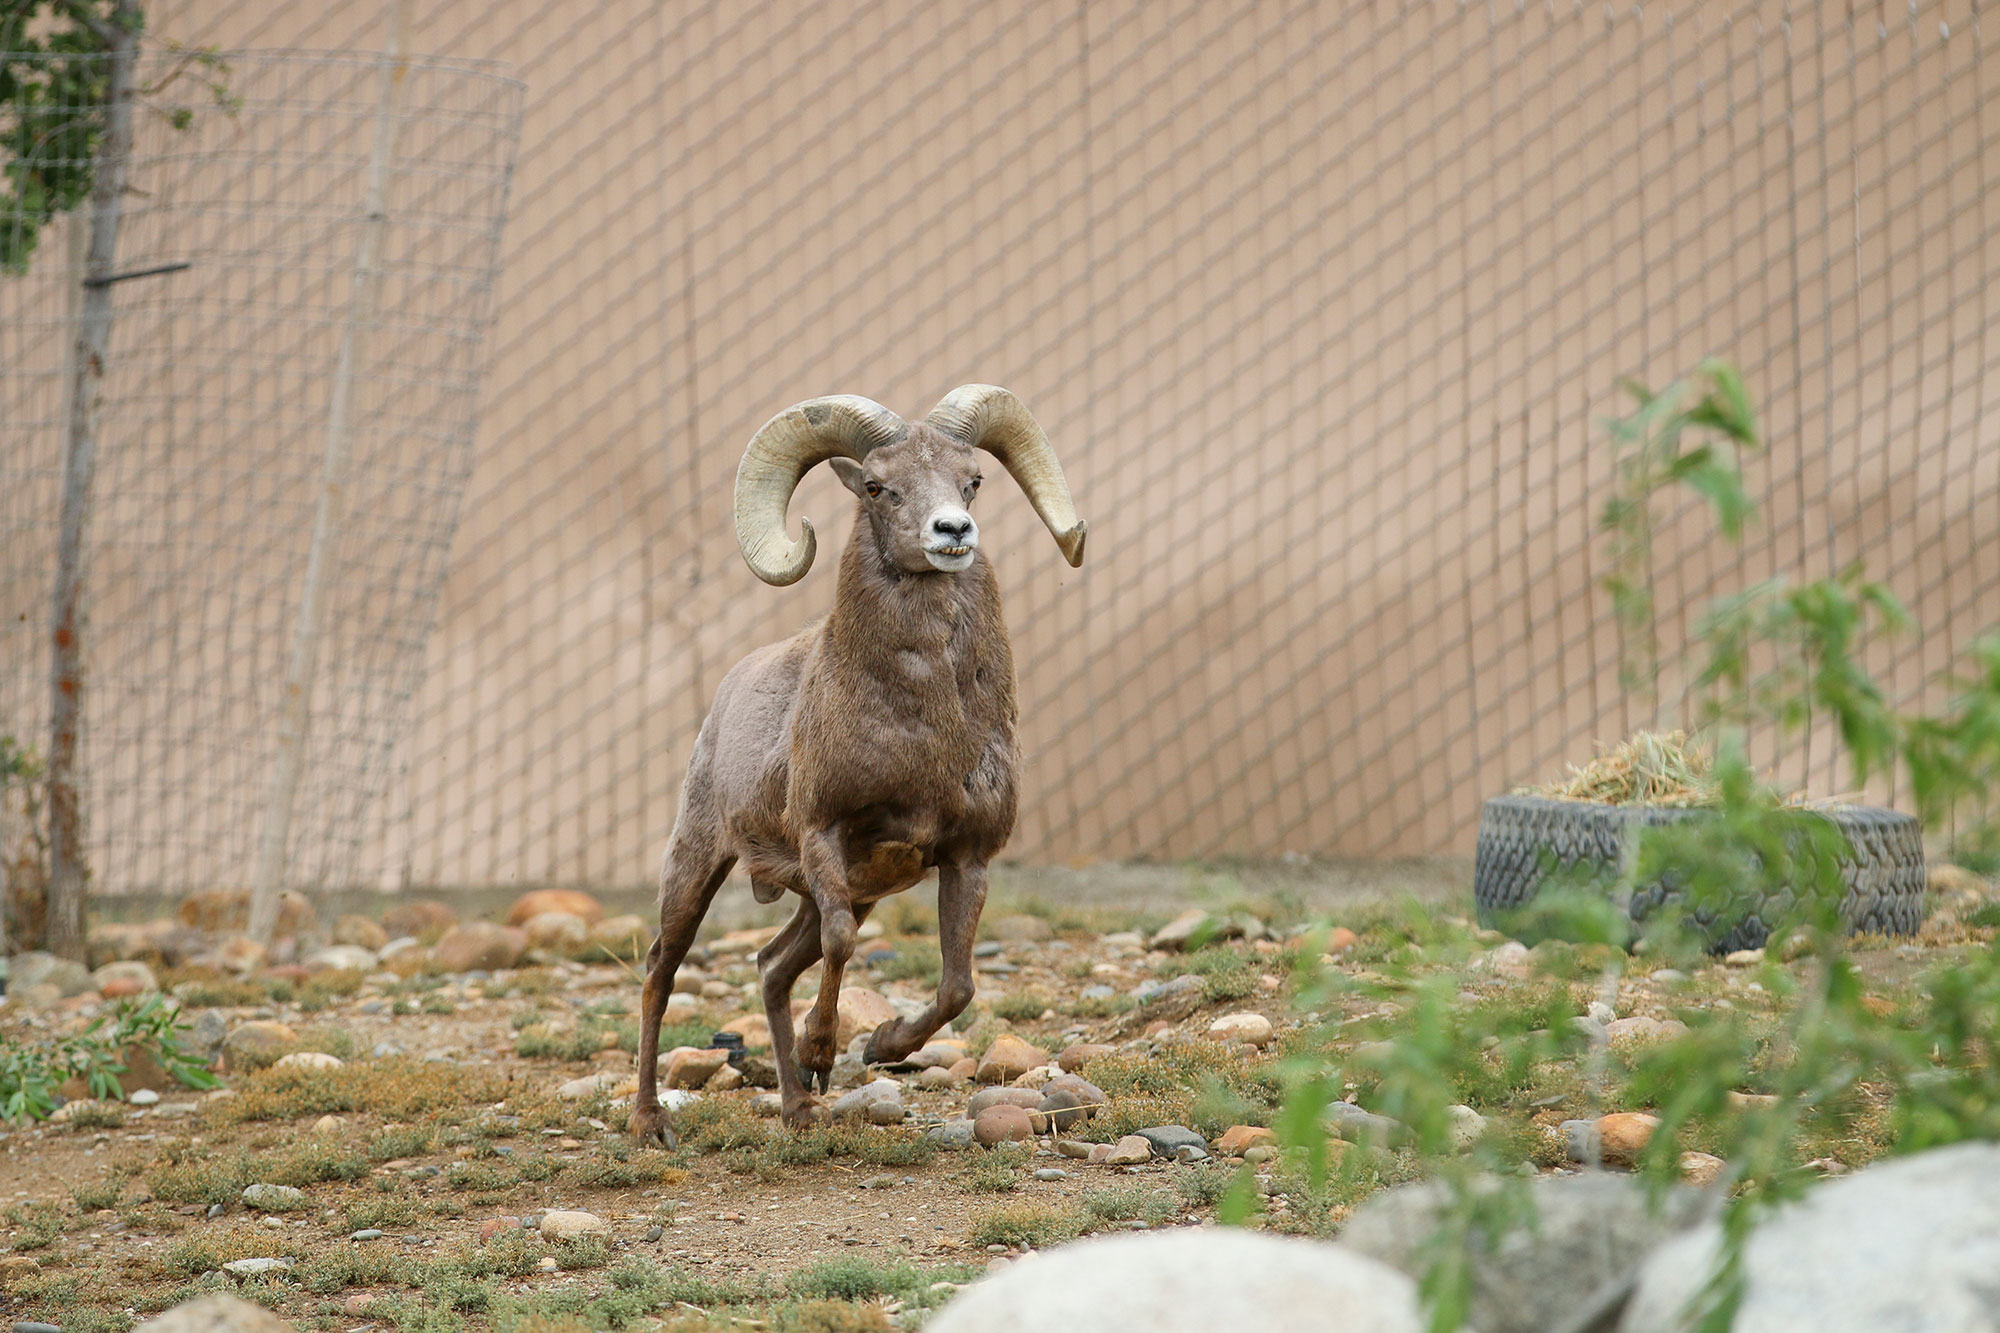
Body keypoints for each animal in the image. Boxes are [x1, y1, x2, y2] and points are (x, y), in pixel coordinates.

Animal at [631, 385, 1087, 1144]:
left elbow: (957, 985)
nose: (952, 530)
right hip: (695, 866)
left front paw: (880, 1046)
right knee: (660, 976)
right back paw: (650, 1123)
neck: (925, 736)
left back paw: (799, 1109)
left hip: (839, 893)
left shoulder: (966, 858)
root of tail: (725, 693)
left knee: (771, 968)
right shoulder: (824, 836)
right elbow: (845, 942)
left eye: (973, 480)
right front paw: (824, 1051)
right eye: (877, 486)